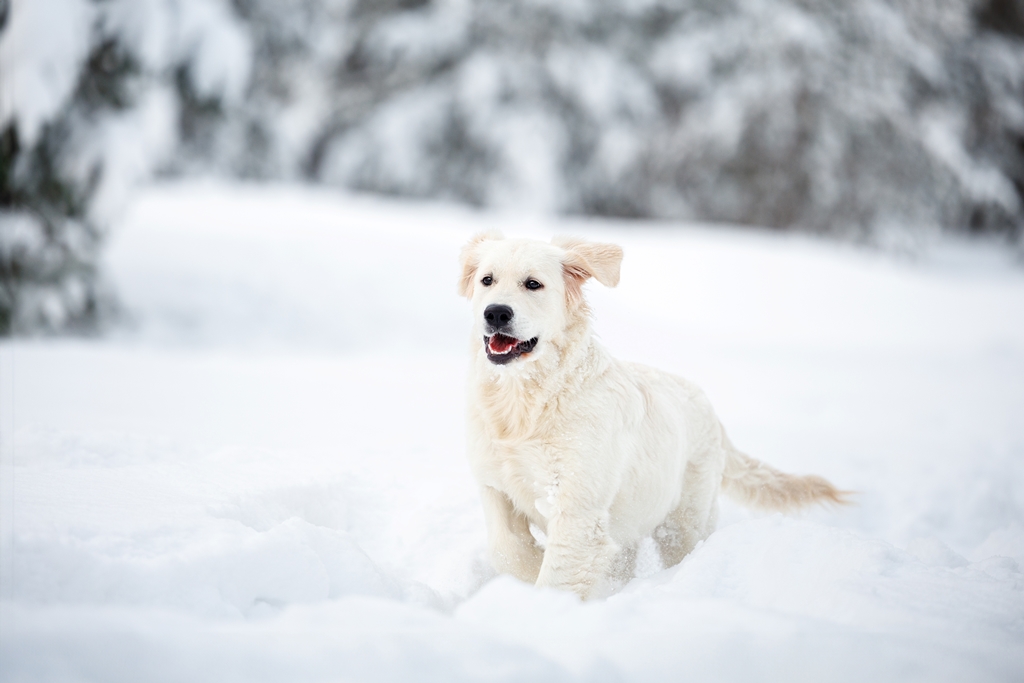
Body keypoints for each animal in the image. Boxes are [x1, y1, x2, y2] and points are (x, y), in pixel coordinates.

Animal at [460, 231, 843, 598]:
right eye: (487, 280)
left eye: (533, 284)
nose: (496, 313)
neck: (525, 403)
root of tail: (708, 406)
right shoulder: (494, 484)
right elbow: (506, 549)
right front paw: (528, 575)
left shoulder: (579, 507)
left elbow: (559, 571)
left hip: (685, 521)